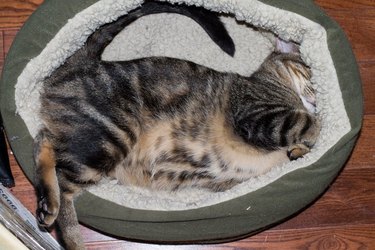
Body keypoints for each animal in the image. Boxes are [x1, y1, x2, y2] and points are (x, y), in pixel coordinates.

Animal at [33, 1, 320, 248]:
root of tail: (82, 63)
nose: (318, 98)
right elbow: (304, 121)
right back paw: (68, 232)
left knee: (43, 143)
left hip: (81, 135)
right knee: (65, 183)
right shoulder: (256, 116)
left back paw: (46, 205)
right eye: (310, 73)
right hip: (109, 139)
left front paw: (298, 149)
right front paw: (313, 129)